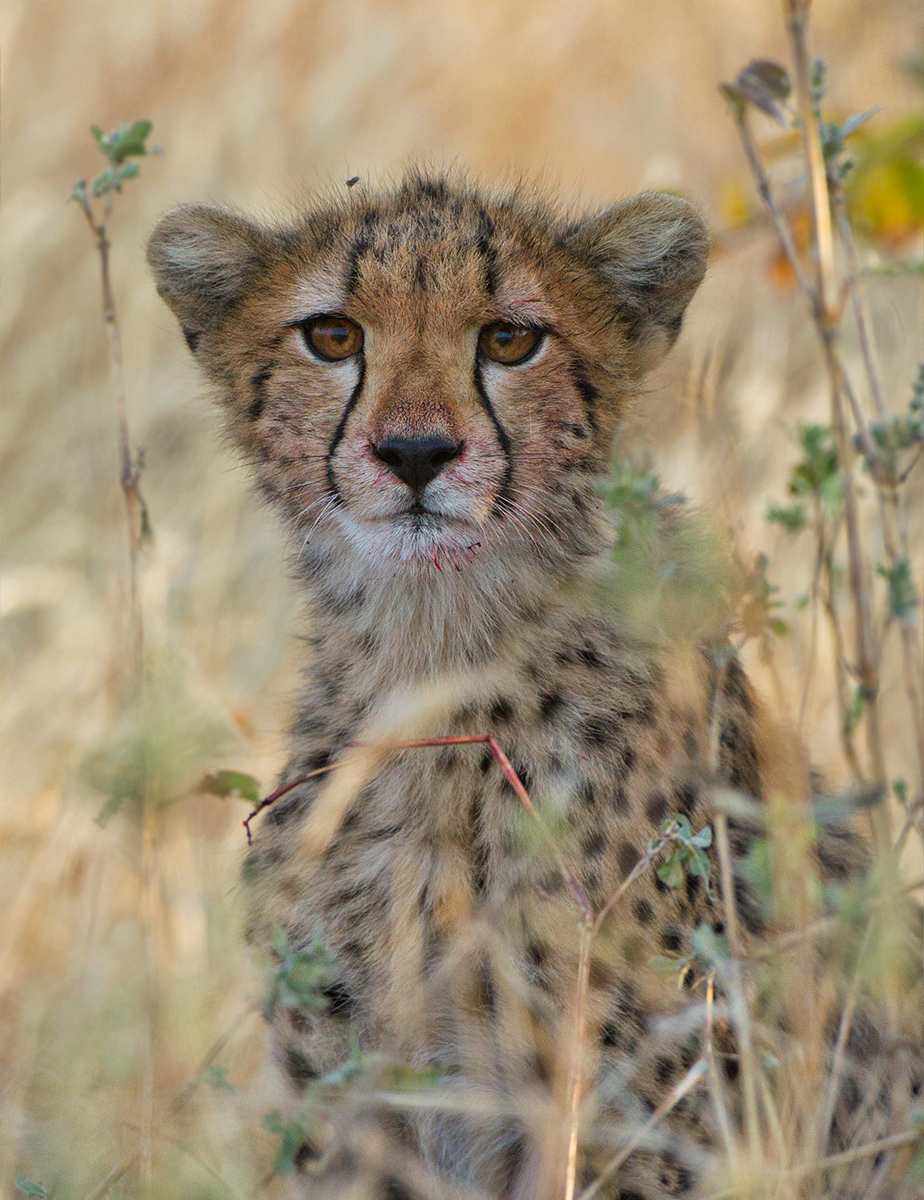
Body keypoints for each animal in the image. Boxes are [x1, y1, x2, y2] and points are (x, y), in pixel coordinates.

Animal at [148, 170, 923, 1200]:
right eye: (334, 336)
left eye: (511, 339)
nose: (416, 453)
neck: (437, 656)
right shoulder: (351, 1101)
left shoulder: (633, 1113)